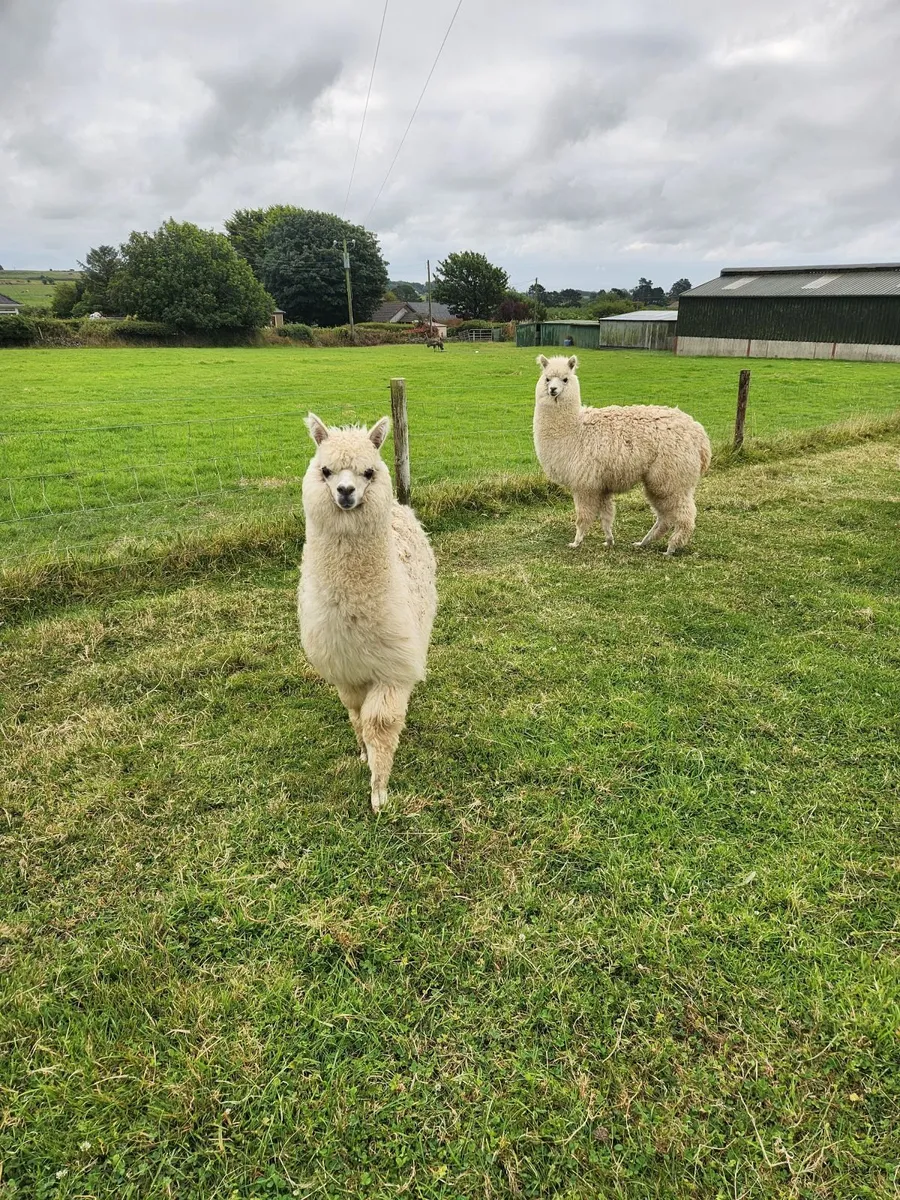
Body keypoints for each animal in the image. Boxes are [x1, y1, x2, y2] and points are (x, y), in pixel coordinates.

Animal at [297, 414, 437, 813]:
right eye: (326, 470)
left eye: (369, 472)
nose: (346, 492)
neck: (356, 617)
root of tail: (401, 507)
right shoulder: (347, 669)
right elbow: (355, 714)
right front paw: (362, 753)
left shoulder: (391, 669)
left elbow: (380, 724)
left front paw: (379, 792)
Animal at [533, 354, 711, 555]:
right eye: (547, 378)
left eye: (565, 379)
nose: (553, 390)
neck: (574, 430)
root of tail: (701, 438)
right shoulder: (601, 485)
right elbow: (606, 516)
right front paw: (609, 541)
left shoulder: (584, 484)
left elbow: (583, 517)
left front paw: (576, 542)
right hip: (659, 480)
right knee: (664, 517)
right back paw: (643, 543)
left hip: (673, 477)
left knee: (684, 515)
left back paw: (671, 548)